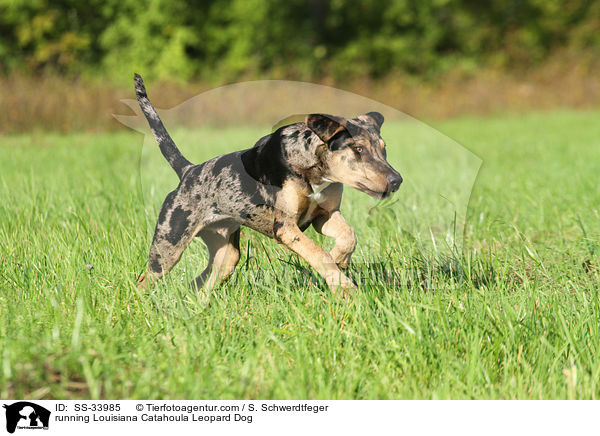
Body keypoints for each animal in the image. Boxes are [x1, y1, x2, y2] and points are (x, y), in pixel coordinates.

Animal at [134, 73, 400, 294]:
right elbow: (317, 251)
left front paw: (340, 259)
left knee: (198, 286)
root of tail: (188, 171)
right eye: (358, 149)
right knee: (143, 281)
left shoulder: (324, 215)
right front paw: (343, 287)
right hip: (168, 244)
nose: (397, 180)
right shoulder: (285, 227)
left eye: (384, 149)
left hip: (226, 255)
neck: (310, 165)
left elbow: (348, 235)